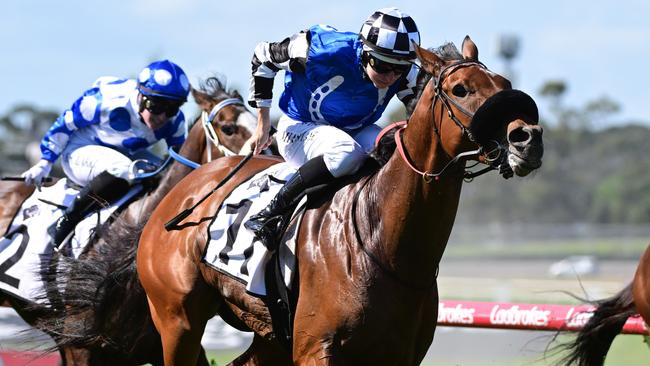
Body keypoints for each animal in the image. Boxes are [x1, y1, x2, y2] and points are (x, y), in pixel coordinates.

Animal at [137, 38, 540, 366]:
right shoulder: (315, 348)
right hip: (178, 321)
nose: (527, 138)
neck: (380, 239)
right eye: (461, 89)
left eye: (504, 85)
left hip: (267, 335)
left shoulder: (398, 354)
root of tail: (180, 191)